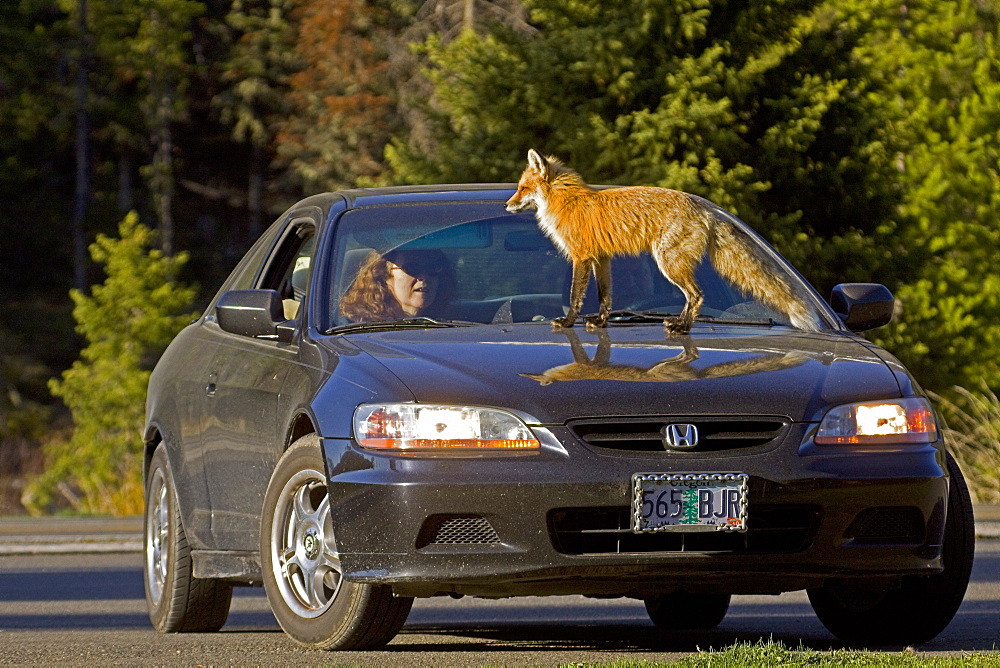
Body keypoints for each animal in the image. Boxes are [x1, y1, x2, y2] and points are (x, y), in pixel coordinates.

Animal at [508, 153, 820, 336]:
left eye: (523, 188)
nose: (507, 205)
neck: (568, 202)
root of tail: (703, 207)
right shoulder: (601, 258)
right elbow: (604, 296)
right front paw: (600, 322)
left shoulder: (581, 256)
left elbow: (575, 296)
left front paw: (568, 322)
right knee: (694, 295)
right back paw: (680, 324)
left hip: (669, 263)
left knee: (696, 294)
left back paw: (682, 327)